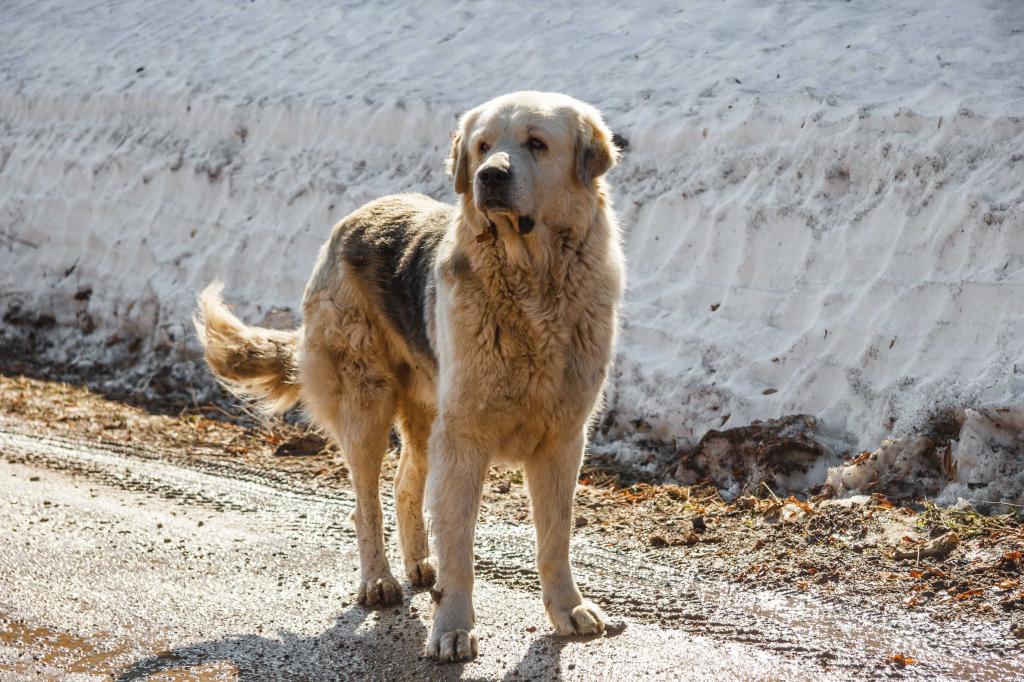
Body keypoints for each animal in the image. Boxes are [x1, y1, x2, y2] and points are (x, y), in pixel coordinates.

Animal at [192, 91, 622, 659]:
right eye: (483, 146)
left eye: (536, 143)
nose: (488, 176)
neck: (532, 285)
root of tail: (352, 220)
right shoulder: (464, 440)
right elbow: (460, 544)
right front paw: (453, 628)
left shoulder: (562, 439)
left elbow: (555, 536)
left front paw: (567, 609)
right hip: (366, 406)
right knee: (365, 505)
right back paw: (379, 581)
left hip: (424, 417)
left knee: (403, 485)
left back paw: (418, 564)